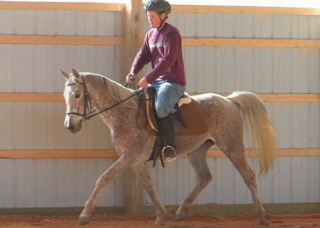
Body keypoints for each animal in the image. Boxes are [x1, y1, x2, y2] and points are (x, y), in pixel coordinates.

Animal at [61, 68, 276, 225]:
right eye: (65, 95)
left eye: (78, 95)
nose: (70, 126)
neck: (124, 112)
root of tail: (229, 100)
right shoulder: (135, 160)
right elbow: (148, 186)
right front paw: (161, 216)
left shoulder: (129, 157)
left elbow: (103, 179)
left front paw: (85, 215)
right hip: (197, 151)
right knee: (205, 177)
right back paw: (181, 211)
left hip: (232, 146)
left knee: (248, 176)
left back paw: (261, 216)